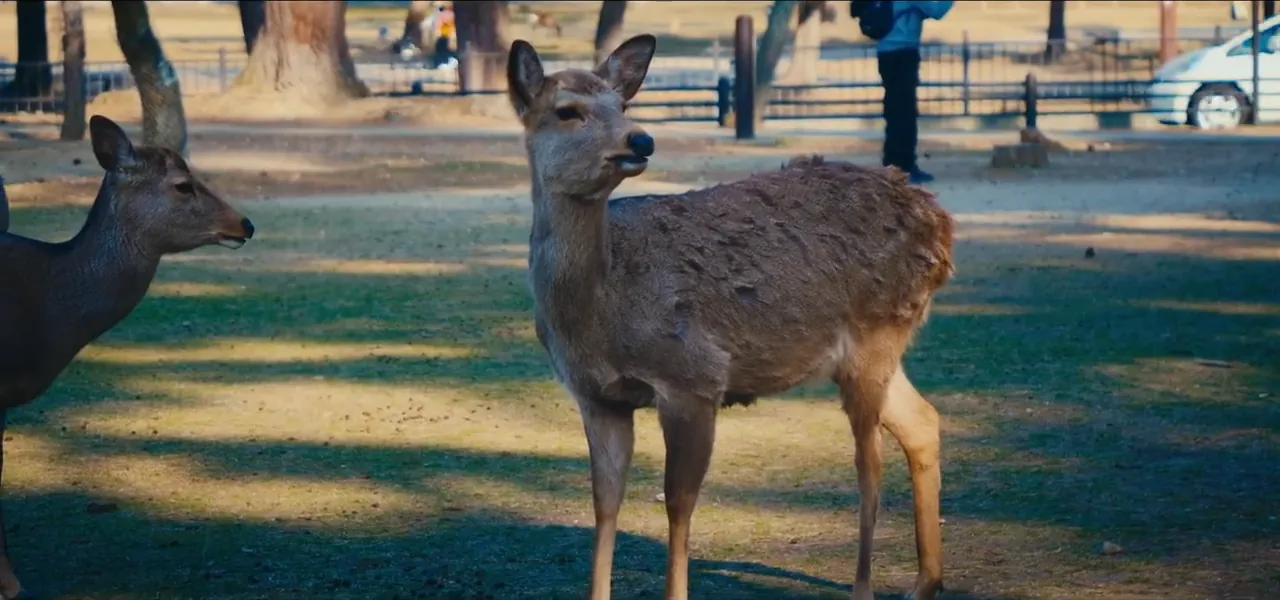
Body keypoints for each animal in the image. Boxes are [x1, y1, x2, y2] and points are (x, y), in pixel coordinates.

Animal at [506, 34, 954, 600]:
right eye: (568, 111)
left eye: (622, 105)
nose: (641, 140)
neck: (601, 314)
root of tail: (940, 224)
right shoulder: (597, 397)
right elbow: (604, 504)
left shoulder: (694, 378)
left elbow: (679, 506)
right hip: (876, 349)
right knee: (922, 421)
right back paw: (924, 582)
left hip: (876, 333)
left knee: (868, 463)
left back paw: (868, 587)